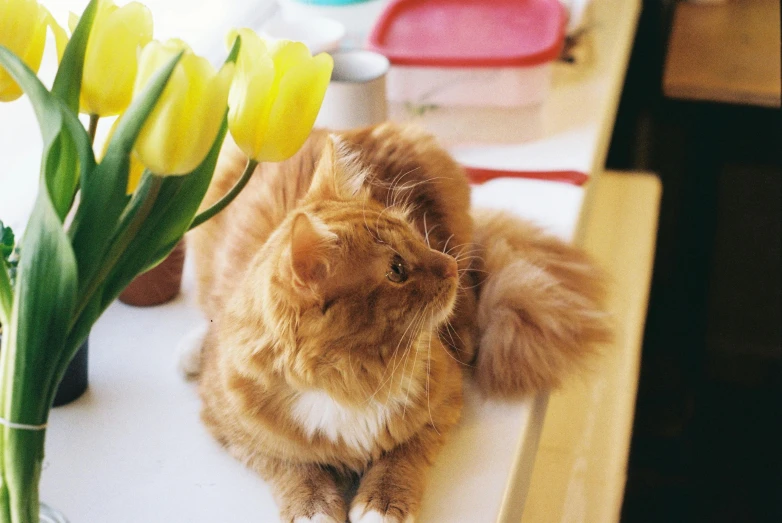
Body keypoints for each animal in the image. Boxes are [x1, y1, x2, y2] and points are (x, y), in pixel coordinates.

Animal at [185, 124, 612, 523]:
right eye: (396, 271)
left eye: (415, 237)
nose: (449, 264)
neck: (351, 378)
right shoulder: (233, 428)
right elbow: (294, 466)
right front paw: (314, 507)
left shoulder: (442, 401)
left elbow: (400, 456)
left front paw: (381, 504)